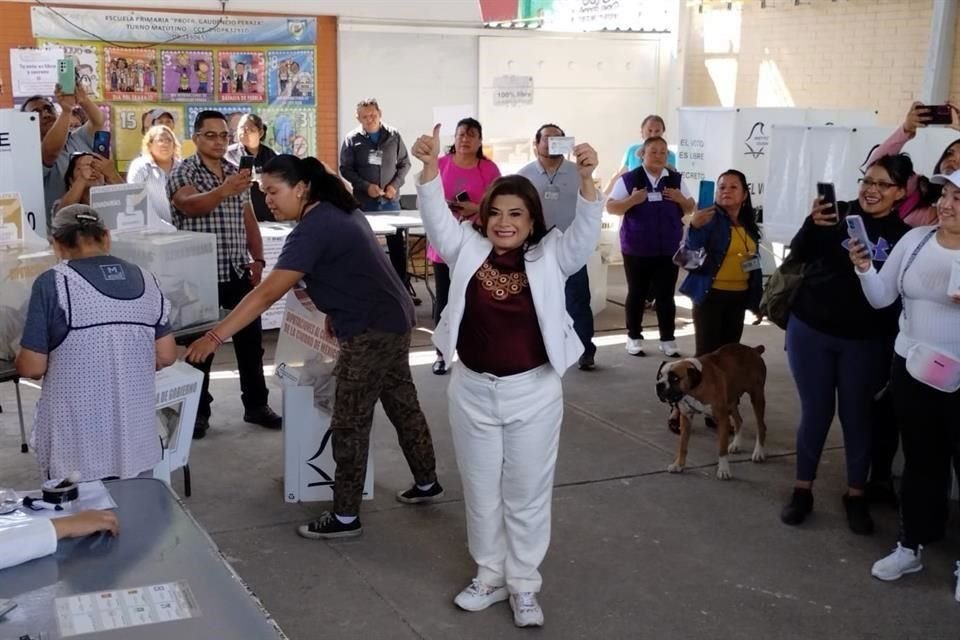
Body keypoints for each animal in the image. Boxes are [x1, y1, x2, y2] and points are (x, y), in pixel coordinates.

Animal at [656, 342, 768, 478]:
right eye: (660, 376)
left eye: (675, 378)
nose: (659, 385)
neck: (696, 386)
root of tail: (753, 350)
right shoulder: (686, 419)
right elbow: (682, 446)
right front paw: (679, 464)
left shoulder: (722, 419)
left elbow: (722, 448)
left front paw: (724, 469)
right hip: (731, 401)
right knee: (739, 421)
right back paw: (736, 444)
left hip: (757, 397)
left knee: (761, 426)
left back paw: (758, 452)